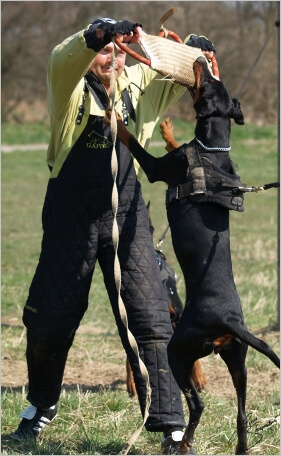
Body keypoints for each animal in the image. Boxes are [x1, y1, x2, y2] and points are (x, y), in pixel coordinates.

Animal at [104, 55, 278, 454]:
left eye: (208, 81)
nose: (200, 58)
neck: (213, 151)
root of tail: (227, 322)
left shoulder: (158, 169)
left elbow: (136, 144)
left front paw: (115, 117)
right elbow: (174, 144)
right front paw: (168, 129)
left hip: (179, 350)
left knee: (196, 404)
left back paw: (184, 442)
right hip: (238, 360)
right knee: (241, 413)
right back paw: (239, 448)